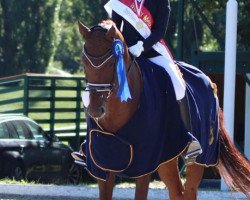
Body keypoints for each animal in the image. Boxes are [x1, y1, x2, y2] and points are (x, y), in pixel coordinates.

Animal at [78, 20, 250, 200]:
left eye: (112, 63)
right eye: (84, 62)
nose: (95, 109)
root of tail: (209, 82)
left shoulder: (145, 163)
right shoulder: (102, 164)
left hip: (199, 158)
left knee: (189, 191)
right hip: (167, 158)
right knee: (177, 192)